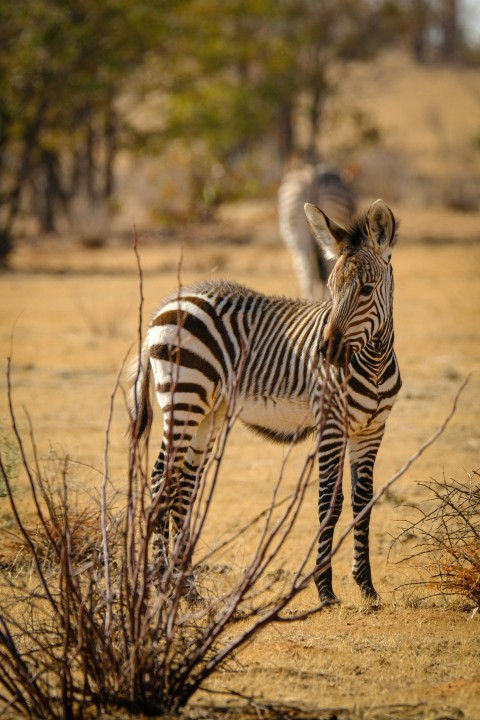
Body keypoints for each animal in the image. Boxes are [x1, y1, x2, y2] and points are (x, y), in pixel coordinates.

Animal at [128, 198, 402, 608]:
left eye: (367, 290)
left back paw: (187, 588)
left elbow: (363, 502)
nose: (326, 353)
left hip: (207, 413)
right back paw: (161, 580)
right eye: (331, 289)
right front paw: (324, 590)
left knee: (184, 487)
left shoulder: (372, 429)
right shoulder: (331, 425)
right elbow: (329, 502)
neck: (373, 363)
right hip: (183, 399)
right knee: (162, 478)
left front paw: (367, 586)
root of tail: (169, 303)